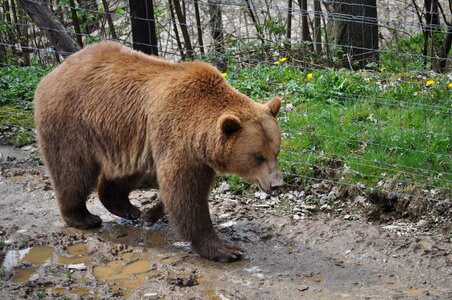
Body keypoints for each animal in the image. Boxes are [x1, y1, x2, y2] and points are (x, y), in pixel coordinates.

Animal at [34, 41, 282, 262]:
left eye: (276, 152)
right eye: (258, 156)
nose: (277, 184)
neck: (200, 136)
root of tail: (52, 73)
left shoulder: (196, 157)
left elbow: (181, 192)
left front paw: (150, 214)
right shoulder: (177, 139)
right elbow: (185, 194)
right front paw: (225, 249)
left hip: (124, 137)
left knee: (124, 173)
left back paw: (127, 208)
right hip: (71, 122)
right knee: (72, 170)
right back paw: (83, 217)